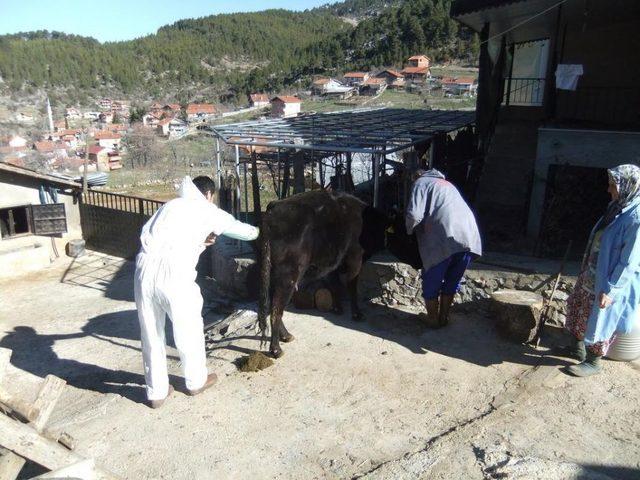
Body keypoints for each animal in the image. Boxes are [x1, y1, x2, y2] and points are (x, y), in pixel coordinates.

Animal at [258, 189, 388, 358]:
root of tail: (273, 208)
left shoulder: (333, 263)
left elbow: (335, 285)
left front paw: (337, 309)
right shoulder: (355, 259)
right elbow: (352, 287)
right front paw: (357, 314)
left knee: (274, 305)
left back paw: (286, 336)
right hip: (288, 276)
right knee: (276, 308)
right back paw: (276, 349)